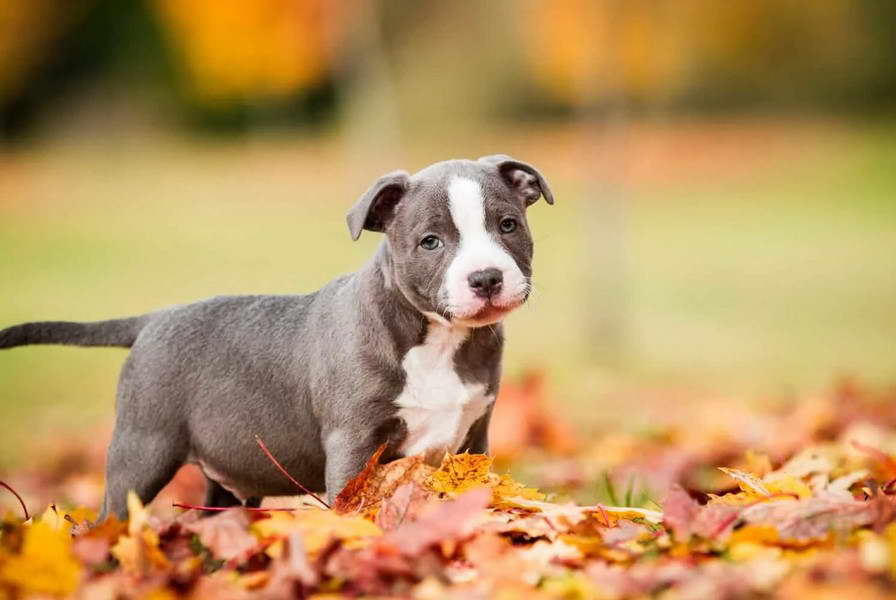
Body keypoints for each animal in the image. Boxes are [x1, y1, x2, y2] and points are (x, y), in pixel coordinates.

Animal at [0, 155, 552, 520]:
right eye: (430, 242)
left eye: (508, 225)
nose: (486, 278)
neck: (437, 338)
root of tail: (153, 319)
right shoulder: (353, 443)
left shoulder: (474, 438)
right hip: (143, 447)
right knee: (114, 514)